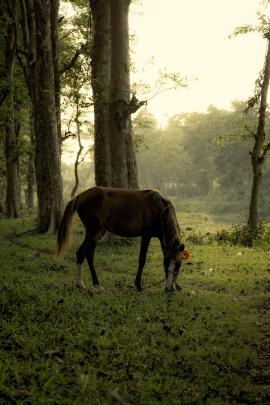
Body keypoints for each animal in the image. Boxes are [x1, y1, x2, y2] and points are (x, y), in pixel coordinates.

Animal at [56, 186, 185, 290]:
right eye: (168, 263)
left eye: (178, 265)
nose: (169, 288)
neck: (159, 210)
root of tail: (81, 195)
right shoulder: (146, 235)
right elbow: (142, 259)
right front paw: (138, 285)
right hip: (93, 232)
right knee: (87, 254)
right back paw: (95, 284)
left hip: (96, 233)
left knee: (83, 254)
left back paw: (81, 284)